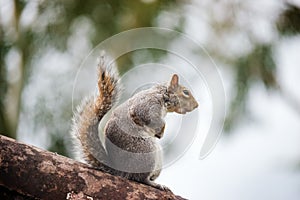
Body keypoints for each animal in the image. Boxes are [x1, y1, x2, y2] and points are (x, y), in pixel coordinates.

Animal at [70, 55, 199, 191]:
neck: (163, 95)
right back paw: (155, 184)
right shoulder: (147, 105)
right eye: (185, 92)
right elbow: (149, 117)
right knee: (140, 179)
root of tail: (120, 171)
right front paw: (161, 131)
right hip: (145, 152)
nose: (197, 105)